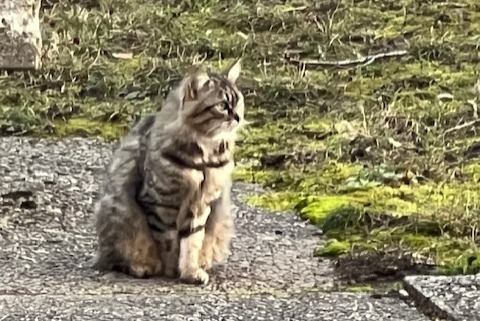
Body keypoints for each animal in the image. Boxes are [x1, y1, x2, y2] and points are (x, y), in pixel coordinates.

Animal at [92, 58, 246, 284]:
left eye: (239, 102)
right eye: (222, 106)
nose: (238, 118)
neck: (204, 155)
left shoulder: (199, 204)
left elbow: (192, 241)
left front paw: (190, 271)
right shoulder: (160, 202)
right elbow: (169, 242)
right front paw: (172, 270)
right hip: (117, 218)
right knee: (116, 259)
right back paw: (141, 267)